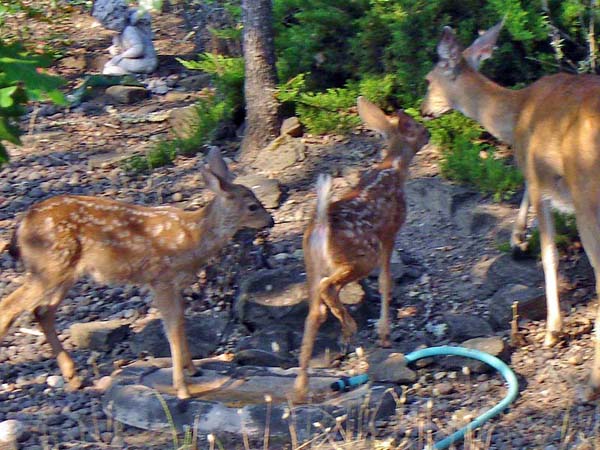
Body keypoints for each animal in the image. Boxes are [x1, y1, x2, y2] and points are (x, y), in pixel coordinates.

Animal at [0, 149, 274, 400]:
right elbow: (172, 329)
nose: (270, 221)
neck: (192, 238)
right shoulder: (161, 279)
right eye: (252, 206)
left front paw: (193, 370)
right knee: (10, 308)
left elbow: (181, 323)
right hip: (50, 264)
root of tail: (21, 227)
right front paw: (182, 388)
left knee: (42, 311)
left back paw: (73, 377)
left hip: (65, 271)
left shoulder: (175, 284)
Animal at [292, 97, 428, 400]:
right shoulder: (390, 232)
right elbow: (386, 281)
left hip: (312, 264)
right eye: (416, 126)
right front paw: (384, 334)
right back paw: (350, 327)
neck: (394, 167)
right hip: (363, 253)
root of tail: (322, 225)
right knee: (328, 288)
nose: (429, 133)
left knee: (312, 314)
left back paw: (300, 389)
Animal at [420, 21, 600, 400]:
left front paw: (552, 331)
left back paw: (590, 384)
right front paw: (517, 239)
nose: (425, 109)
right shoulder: (538, 177)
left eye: (429, 79)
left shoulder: (541, 176)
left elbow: (549, 255)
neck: (516, 111)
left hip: (588, 197)